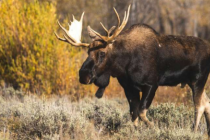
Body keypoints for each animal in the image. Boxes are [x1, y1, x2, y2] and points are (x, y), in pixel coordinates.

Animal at [54, 5, 210, 136]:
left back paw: (194, 131)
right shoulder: (129, 88)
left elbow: (141, 113)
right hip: (191, 82)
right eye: (88, 52)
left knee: (199, 106)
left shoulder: (151, 84)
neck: (124, 65)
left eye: (102, 53)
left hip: (198, 80)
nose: (83, 75)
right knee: (207, 103)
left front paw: (155, 128)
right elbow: (133, 115)